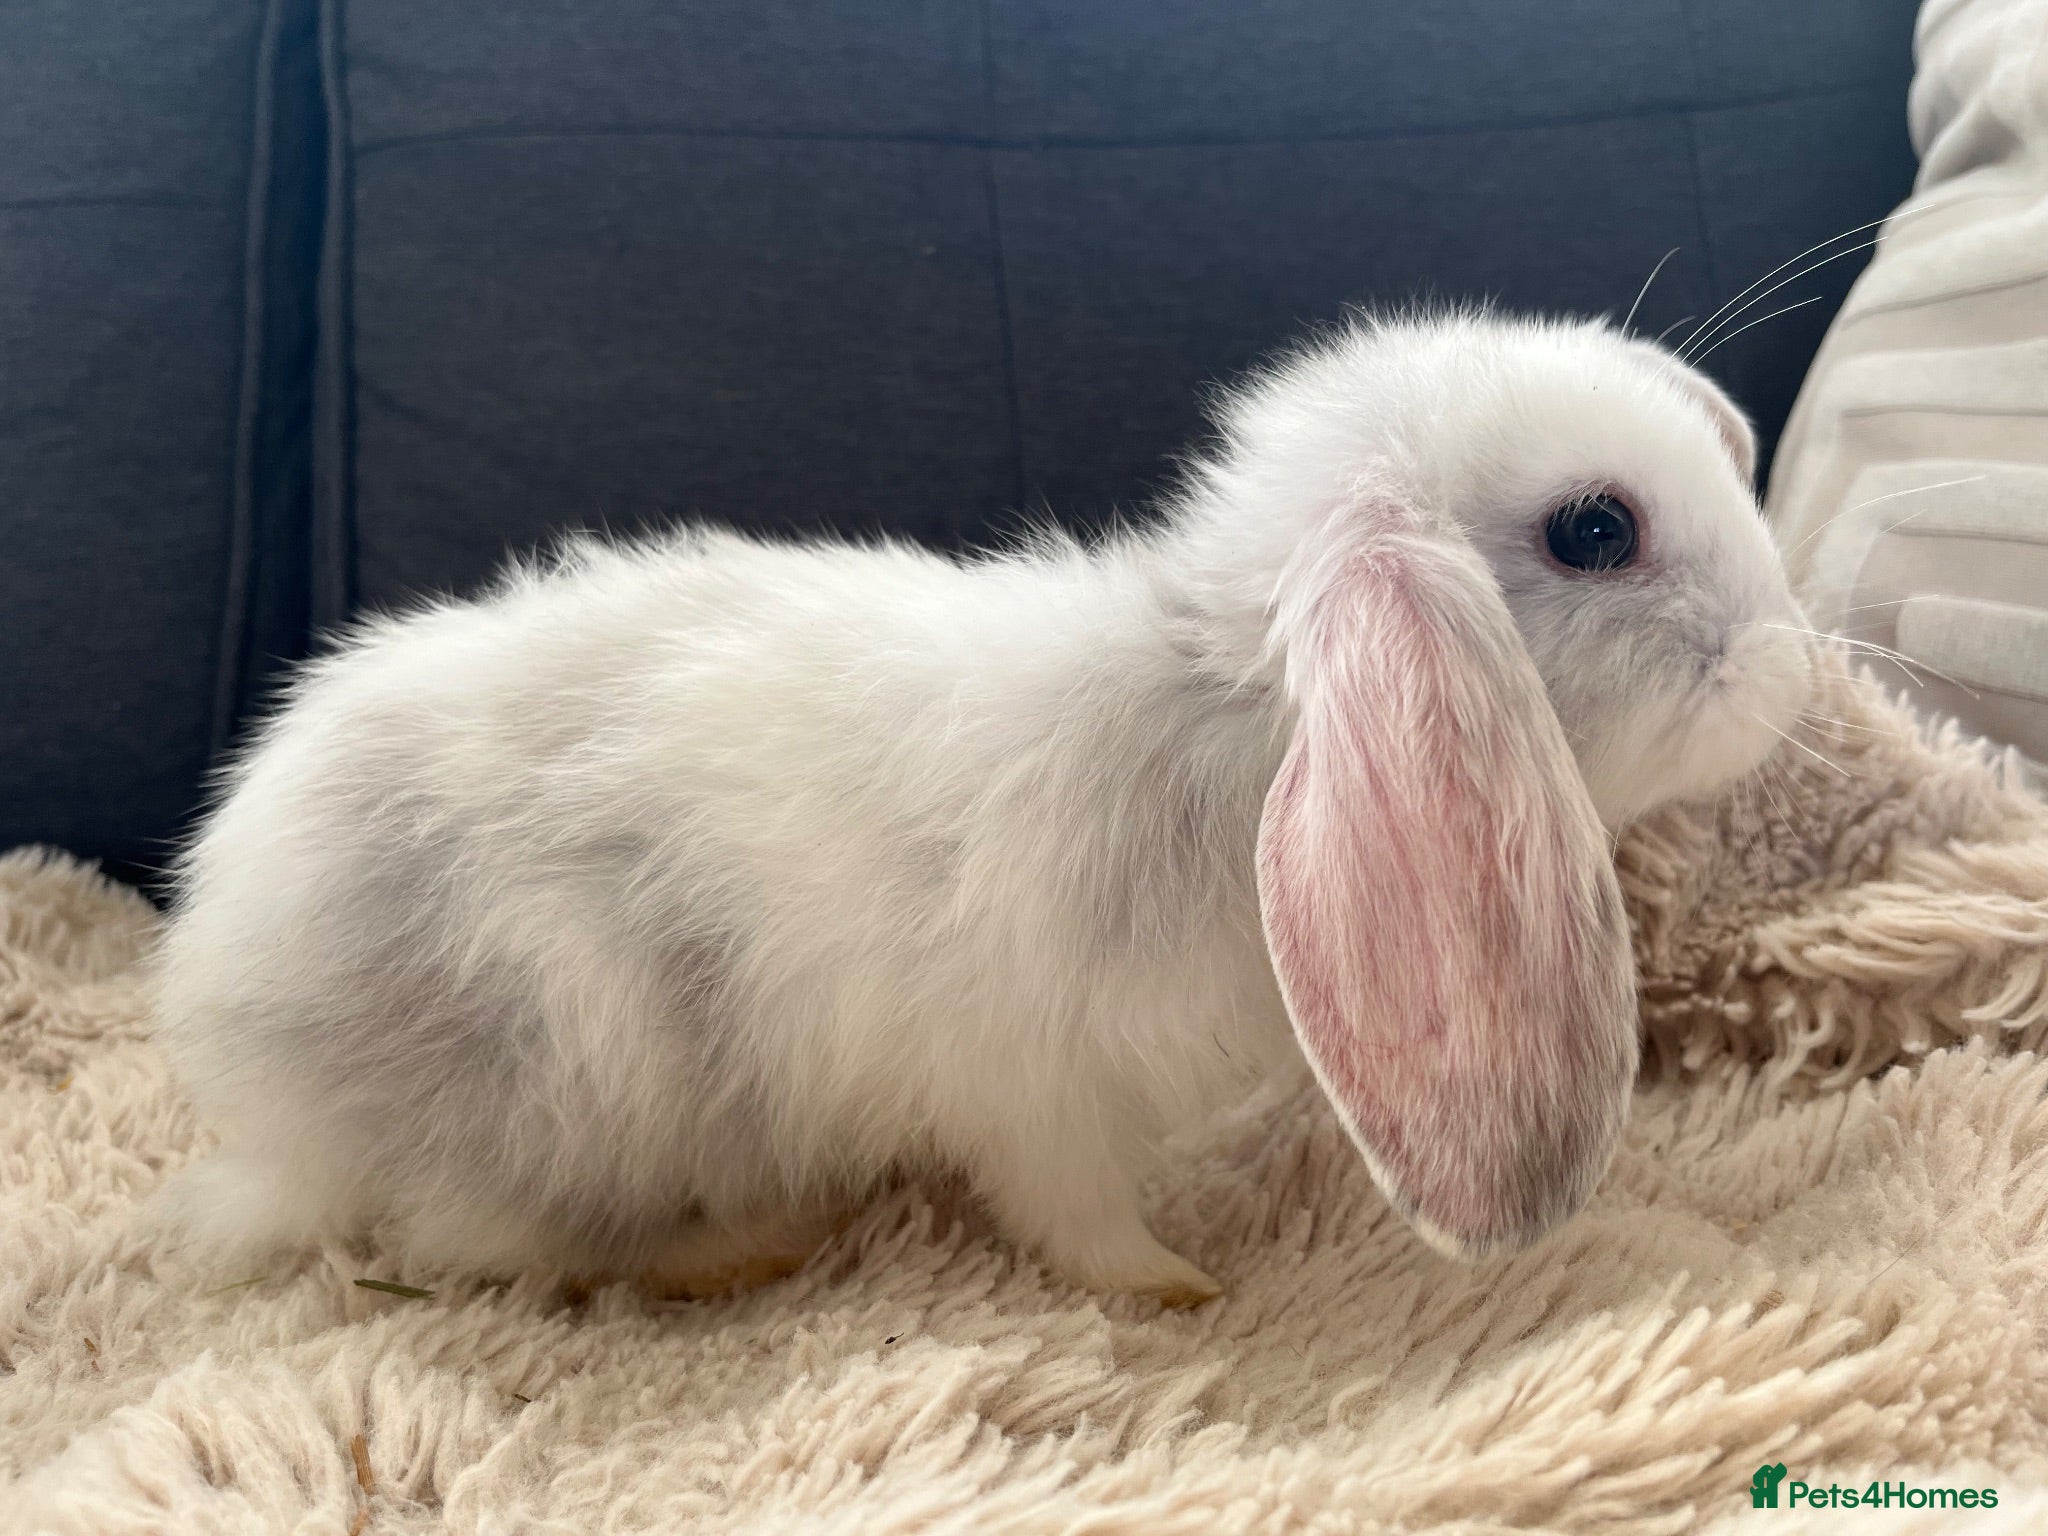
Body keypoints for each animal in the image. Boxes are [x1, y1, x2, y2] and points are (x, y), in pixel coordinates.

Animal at [150, 309, 1813, 1307]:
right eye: (1594, 529)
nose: (1792, 662)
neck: (1232, 719)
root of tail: (239, 1028)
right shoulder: (1033, 1084)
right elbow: (1073, 1214)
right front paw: (1178, 1288)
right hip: (575, 1068)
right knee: (481, 1242)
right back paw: (745, 1244)